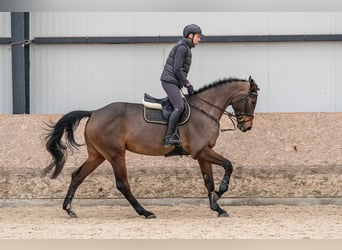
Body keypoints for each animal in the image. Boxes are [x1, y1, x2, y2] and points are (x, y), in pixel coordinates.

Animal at [42, 76, 260, 219]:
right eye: (252, 100)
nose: (247, 127)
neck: (205, 110)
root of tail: (94, 112)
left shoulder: (201, 154)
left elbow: (209, 182)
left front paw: (217, 207)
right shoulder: (202, 151)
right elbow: (229, 165)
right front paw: (220, 195)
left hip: (98, 155)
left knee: (77, 176)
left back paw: (69, 209)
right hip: (115, 154)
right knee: (122, 184)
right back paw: (145, 212)